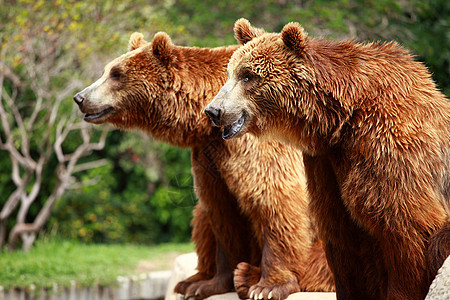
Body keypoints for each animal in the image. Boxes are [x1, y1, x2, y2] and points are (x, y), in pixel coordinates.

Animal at [73, 31, 334, 298]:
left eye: (117, 74)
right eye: (106, 70)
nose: (80, 97)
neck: (207, 125)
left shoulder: (257, 145)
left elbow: (275, 200)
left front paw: (268, 286)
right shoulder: (210, 157)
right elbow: (221, 212)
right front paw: (214, 282)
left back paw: (247, 275)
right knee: (201, 220)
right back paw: (194, 280)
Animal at [205, 18, 450, 300]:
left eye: (248, 75)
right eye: (229, 73)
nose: (213, 110)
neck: (340, 120)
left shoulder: (389, 147)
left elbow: (408, 229)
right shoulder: (326, 162)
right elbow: (341, 236)